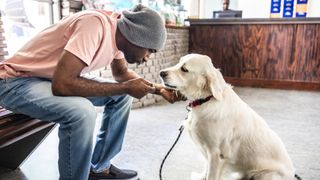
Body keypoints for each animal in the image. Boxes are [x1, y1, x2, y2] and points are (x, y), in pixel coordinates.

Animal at [159, 54, 296, 180]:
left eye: (184, 69)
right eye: (178, 62)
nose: (161, 73)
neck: (206, 100)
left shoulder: (216, 153)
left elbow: (211, 175)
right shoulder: (207, 151)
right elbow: (206, 168)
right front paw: (201, 176)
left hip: (266, 175)